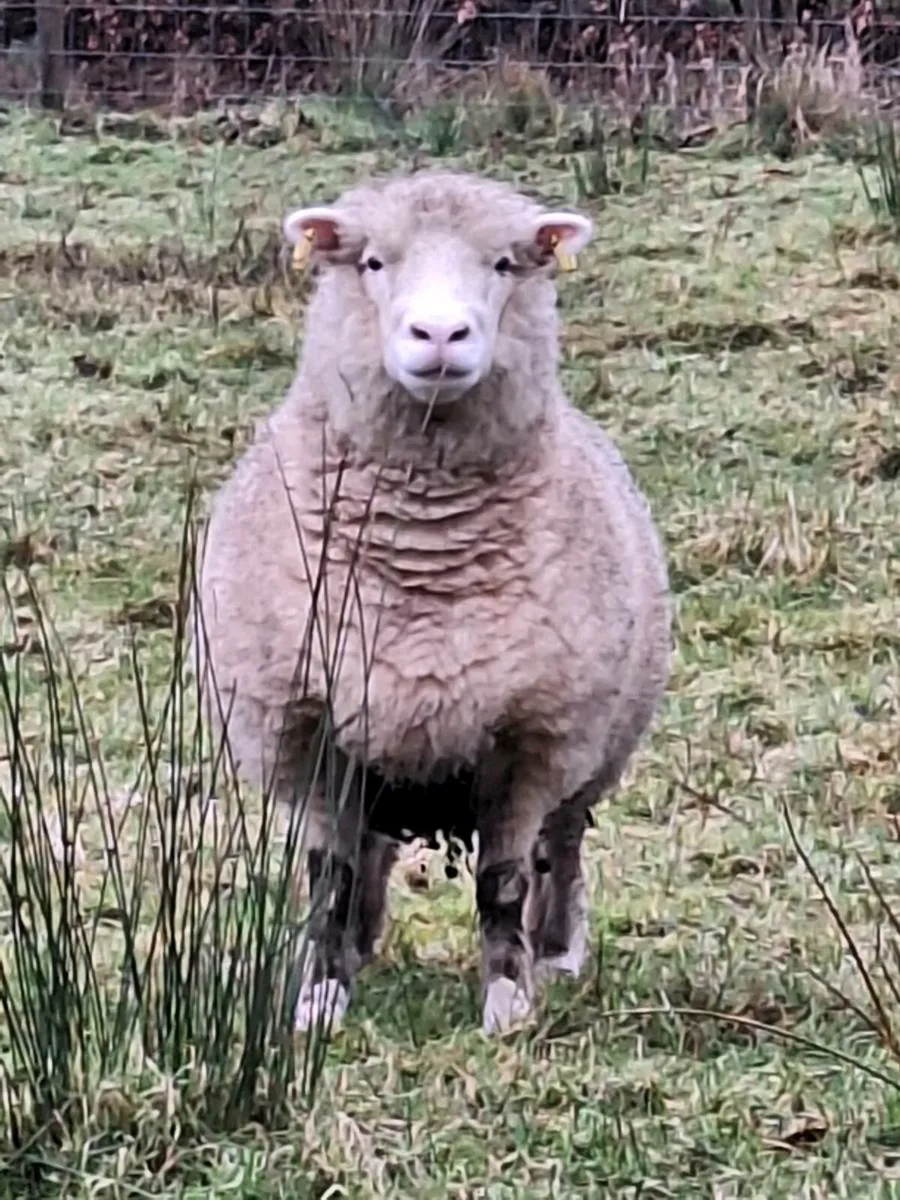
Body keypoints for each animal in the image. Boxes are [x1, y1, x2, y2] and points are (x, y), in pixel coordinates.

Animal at [191, 167, 672, 1037]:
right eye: (372, 263)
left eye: (506, 264)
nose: (440, 334)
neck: (421, 557)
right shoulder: (311, 727)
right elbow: (332, 876)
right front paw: (321, 996)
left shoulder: (532, 734)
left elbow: (504, 880)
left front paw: (508, 1002)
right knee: (371, 858)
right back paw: (361, 947)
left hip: (595, 747)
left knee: (561, 848)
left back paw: (558, 952)